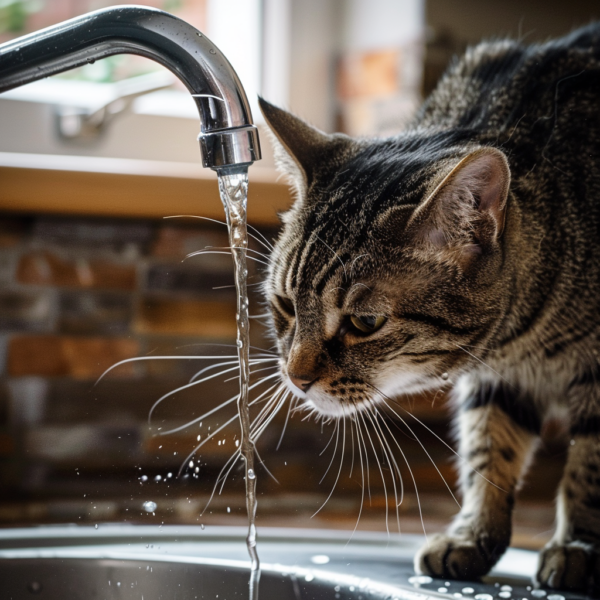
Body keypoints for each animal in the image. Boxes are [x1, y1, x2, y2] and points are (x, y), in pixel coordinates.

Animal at [260, 23, 600, 596]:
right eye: (284, 304)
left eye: (365, 323)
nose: (296, 377)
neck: (521, 338)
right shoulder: (496, 380)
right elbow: (490, 448)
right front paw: (473, 537)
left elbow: (589, 466)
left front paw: (579, 546)